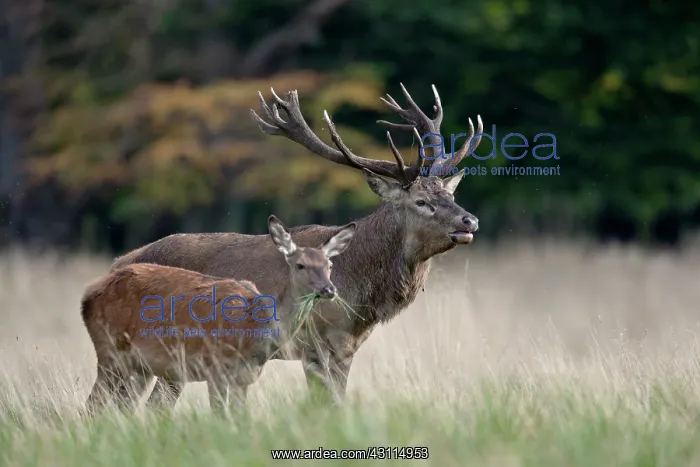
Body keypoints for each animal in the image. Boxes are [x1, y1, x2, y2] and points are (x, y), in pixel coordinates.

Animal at [82, 215, 356, 414]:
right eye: (300, 265)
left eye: (329, 265)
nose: (329, 289)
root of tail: (87, 295)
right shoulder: (215, 368)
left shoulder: (244, 379)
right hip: (109, 351)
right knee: (93, 404)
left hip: (136, 366)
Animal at [110, 83, 483, 407]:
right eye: (422, 201)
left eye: (450, 195)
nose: (470, 221)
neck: (360, 301)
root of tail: (119, 262)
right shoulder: (314, 345)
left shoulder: (345, 350)